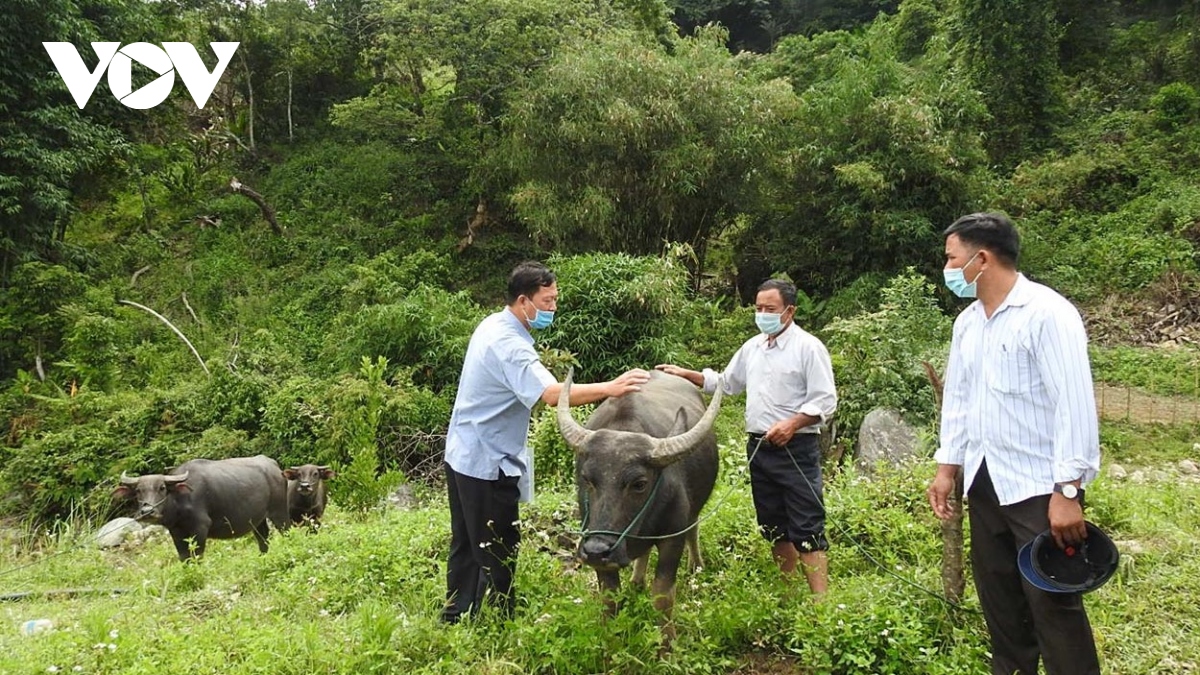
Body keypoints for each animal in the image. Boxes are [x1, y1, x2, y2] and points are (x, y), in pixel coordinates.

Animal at [114, 454, 290, 559]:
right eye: (138, 490)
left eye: (162, 488)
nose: (147, 511)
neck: (180, 501)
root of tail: (274, 466)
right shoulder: (176, 532)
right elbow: (184, 557)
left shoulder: (200, 527)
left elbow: (197, 555)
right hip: (258, 520)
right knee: (263, 539)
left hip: (279, 512)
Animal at [554, 369, 720, 638]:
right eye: (587, 479)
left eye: (639, 483)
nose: (597, 550)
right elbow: (609, 599)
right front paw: (609, 641)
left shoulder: (673, 537)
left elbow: (662, 596)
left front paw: (667, 643)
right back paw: (636, 581)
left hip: (694, 510)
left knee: (693, 529)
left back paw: (696, 566)